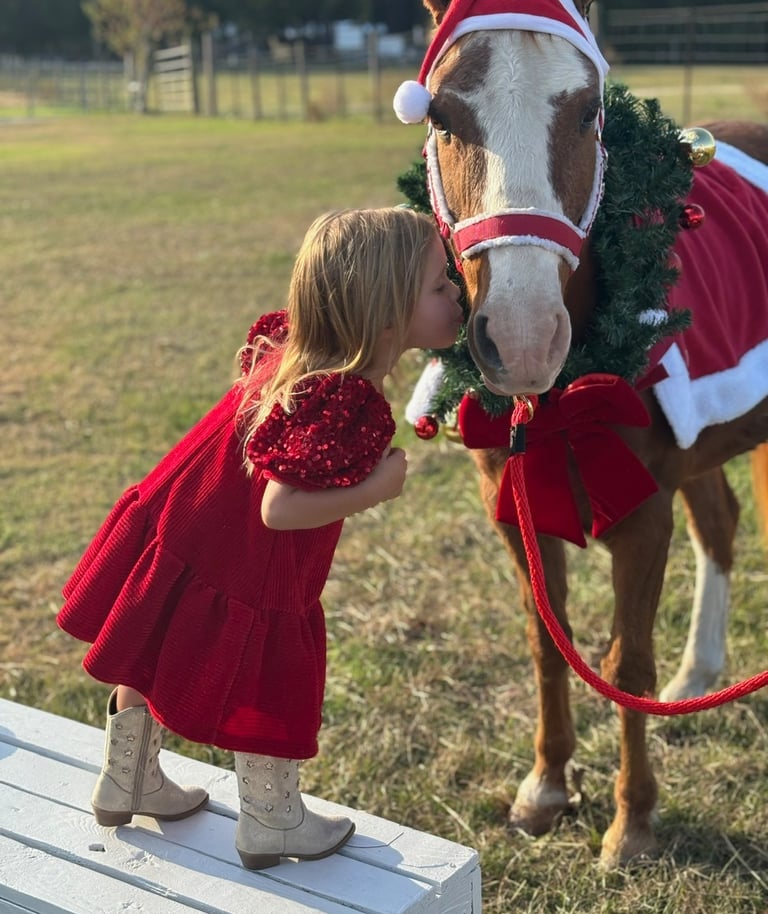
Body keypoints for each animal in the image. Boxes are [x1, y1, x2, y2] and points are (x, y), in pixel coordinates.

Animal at [399, 0, 768, 867]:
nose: (524, 337)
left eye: (590, 113)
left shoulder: (643, 513)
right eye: (440, 115)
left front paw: (632, 821)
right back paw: (698, 676)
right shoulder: (514, 508)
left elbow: (625, 660)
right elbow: (549, 640)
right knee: (722, 525)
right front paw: (548, 784)